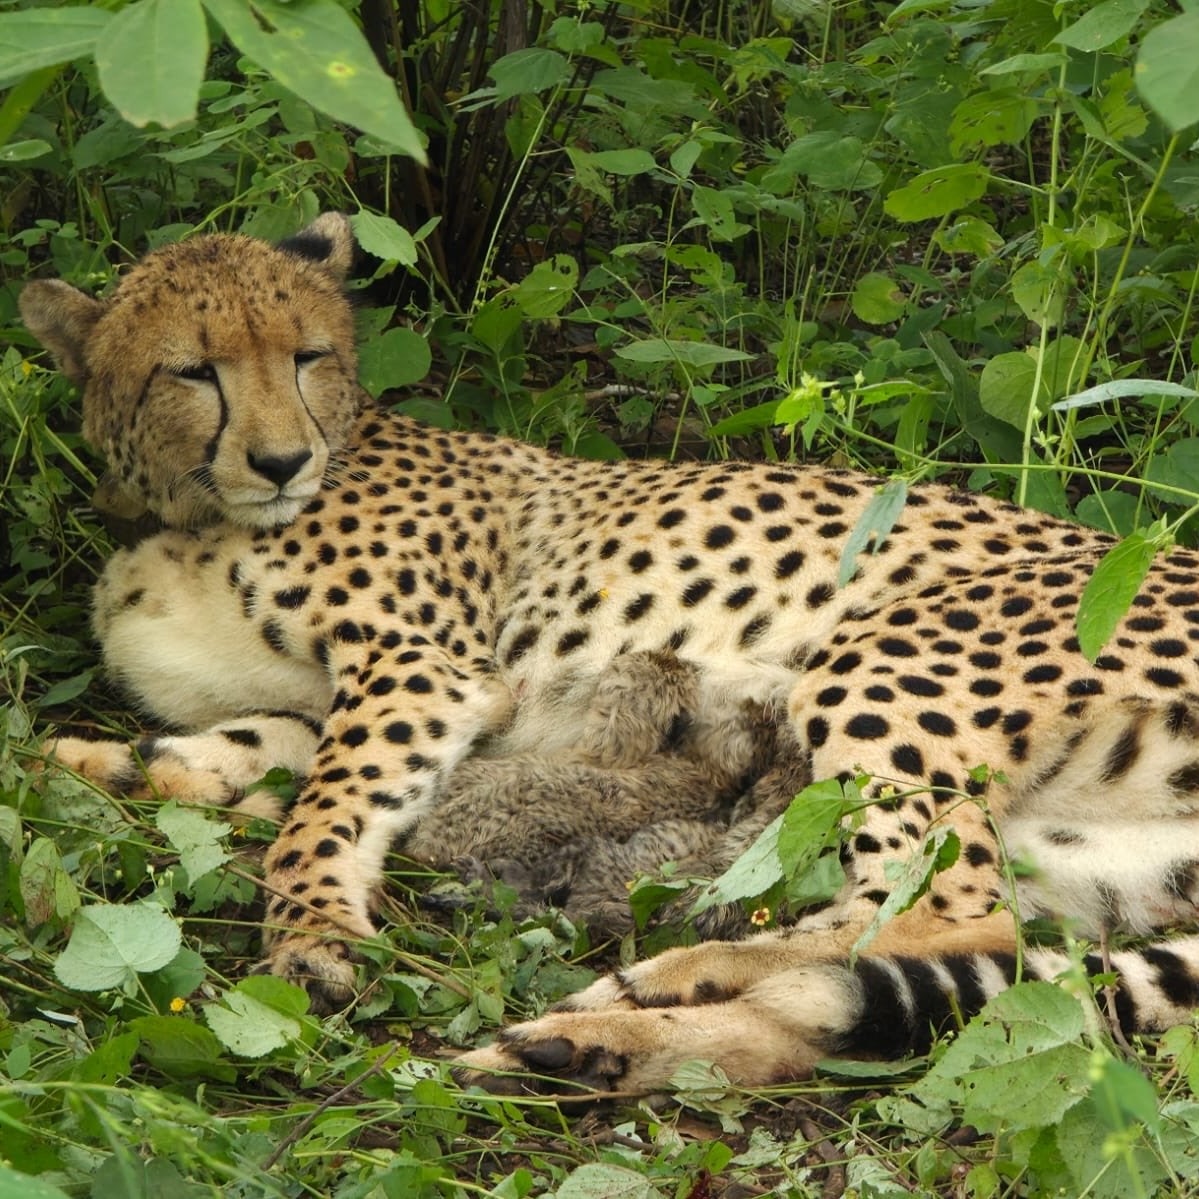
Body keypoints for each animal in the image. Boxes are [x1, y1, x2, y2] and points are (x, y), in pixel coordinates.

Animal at [20, 213, 1199, 1096]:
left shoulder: (425, 668)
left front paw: (310, 935)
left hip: (882, 655)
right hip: (1084, 860)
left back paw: (660, 979)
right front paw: (95, 763)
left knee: (945, 915)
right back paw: (601, 1035)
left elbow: (323, 809)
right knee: (948, 960)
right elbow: (239, 750)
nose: (280, 459)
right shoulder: (349, 697)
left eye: (307, 356)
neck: (187, 512)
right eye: (192, 370)